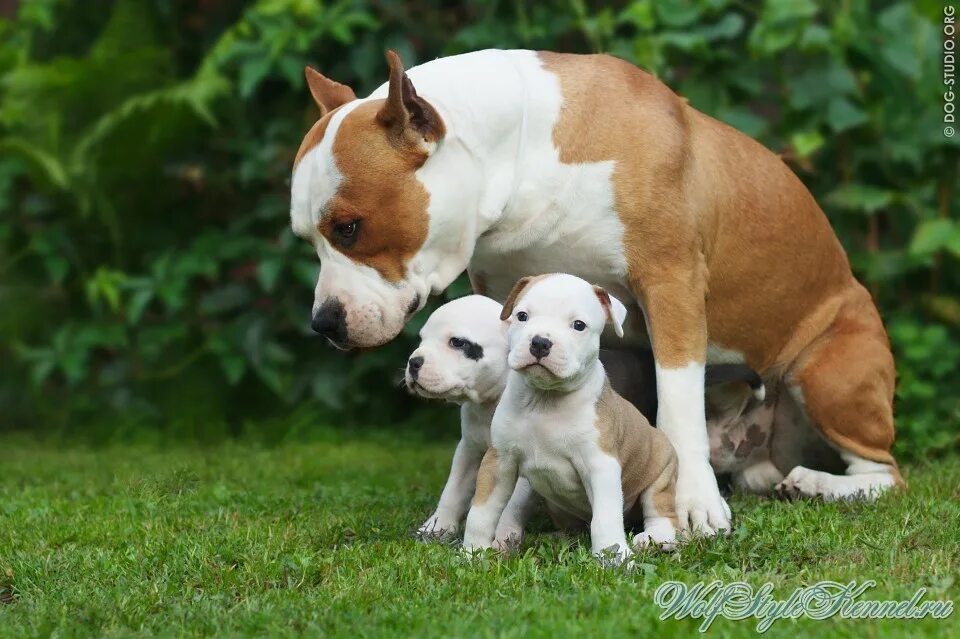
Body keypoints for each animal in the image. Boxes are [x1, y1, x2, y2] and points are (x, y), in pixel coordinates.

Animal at [404, 296, 540, 544]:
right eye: (421, 339)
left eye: (457, 343)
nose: (414, 362)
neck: (490, 404)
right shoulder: (469, 449)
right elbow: (453, 489)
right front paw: (436, 526)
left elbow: (513, 502)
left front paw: (504, 535)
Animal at [462, 272, 680, 564]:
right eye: (522, 316)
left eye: (578, 325)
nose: (540, 342)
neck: (544, 401)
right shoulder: (499, 460)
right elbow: (481, 511)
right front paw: (472, 552)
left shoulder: (601, 465)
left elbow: (605, 518)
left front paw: (614, 557)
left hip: (661, 472)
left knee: (661, 512)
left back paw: (653, 538)